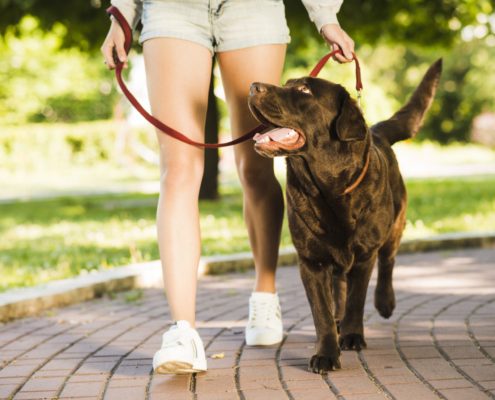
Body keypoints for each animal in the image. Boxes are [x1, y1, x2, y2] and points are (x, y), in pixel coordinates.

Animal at [247, 60, 442, 376]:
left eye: (304, 90)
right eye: (286, 83)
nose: (253, 86)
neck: (326, 188)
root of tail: (376, 131)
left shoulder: (364, 255)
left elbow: (356, 299)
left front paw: (351, 336)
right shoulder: (311, 261)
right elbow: (322, 313)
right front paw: (326, 352)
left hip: (394, 224)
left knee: (388, 261)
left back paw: (384, 302)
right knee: (338, 285)